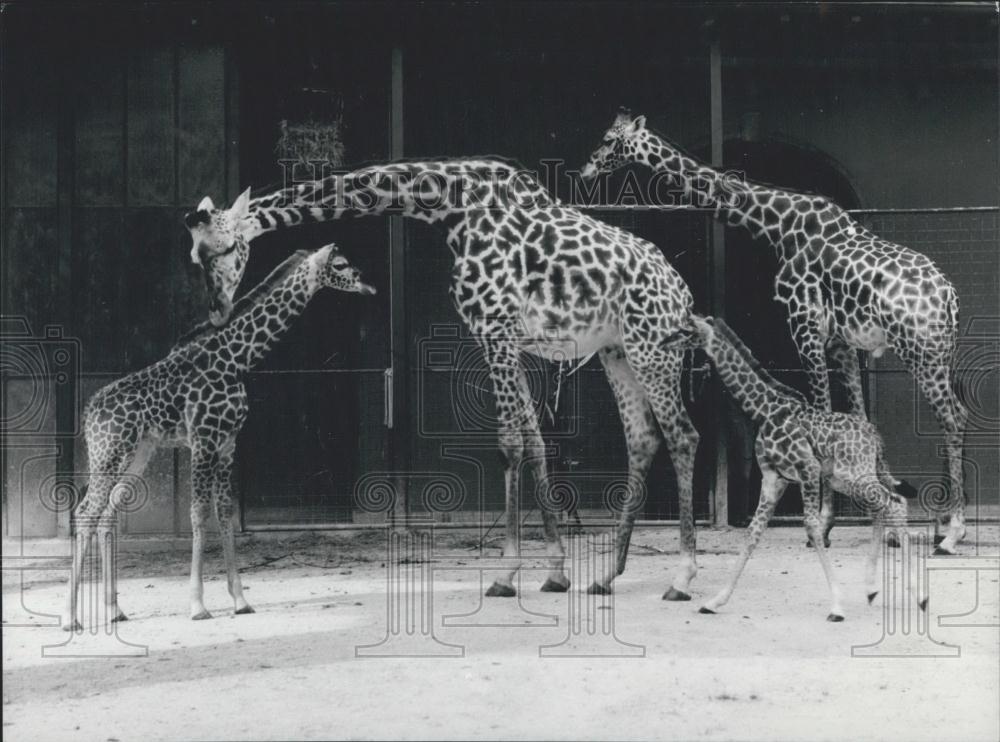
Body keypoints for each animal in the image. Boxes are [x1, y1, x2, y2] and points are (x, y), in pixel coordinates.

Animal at [62, 244, 376, 628]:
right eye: (342, 265)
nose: (368, 285)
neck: (237, 358)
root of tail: (89, 411)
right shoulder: (203, 438)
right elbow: (198, 513)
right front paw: (198, 605)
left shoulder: (228, 443)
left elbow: (225, 511)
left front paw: (240, 600)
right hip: (108, 453)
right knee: (85, 511)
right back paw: (69, 617)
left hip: (138, 454)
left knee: (107, 512)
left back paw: (114, 610)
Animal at [186, 160, 704, 600]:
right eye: (195, 256)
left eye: (224, 248)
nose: (217, 312)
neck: (452, 209)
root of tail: (683, 291)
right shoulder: (505, 339)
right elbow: (535, 443)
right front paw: (556, 571)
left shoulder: (494, 330)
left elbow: (510, 445)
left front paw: (505, 574)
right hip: (619, 351)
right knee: (643, 438)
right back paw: (608, 575)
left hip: (653, 346)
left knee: (683, 435)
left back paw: (681, 578)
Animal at [584, 112, 968, 560]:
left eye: (609, 139)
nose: (587, 168)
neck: (779, 226)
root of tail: (949, 297)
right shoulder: (841, 342)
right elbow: (856, 415)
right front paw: (885, 522)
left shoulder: (804, 324)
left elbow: (822, 410)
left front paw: (823, 523)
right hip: (940, 351)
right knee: (955, 414)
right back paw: (941, 523)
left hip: (920, 349)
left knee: (952, 416)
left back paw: (954, 531)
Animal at [688, 316, 920, 624]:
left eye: (686, 331)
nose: (663, 344)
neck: (763, 410)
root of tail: (875, 436)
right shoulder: (775, 478)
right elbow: (753, 532)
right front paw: (715, 601)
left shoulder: (807, 470)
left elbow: (812, 527)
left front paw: (837, 606)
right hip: (847, 478)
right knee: (886, 505)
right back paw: (872, 590)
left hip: (853, 476)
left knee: (893, 503)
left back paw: (920, 597)